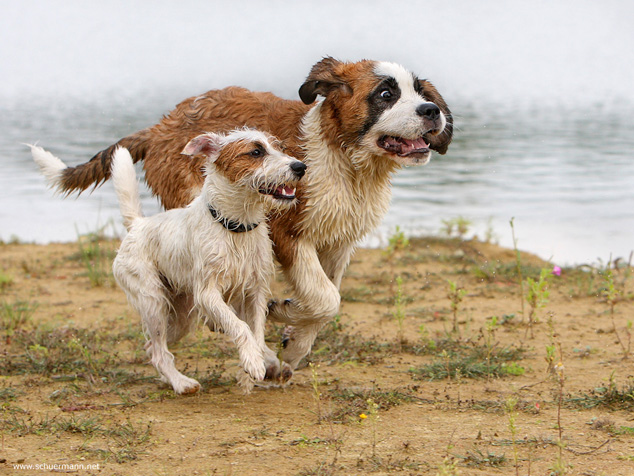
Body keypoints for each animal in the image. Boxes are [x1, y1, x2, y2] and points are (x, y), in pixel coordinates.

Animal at [108, 130, 306, 394]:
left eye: (280, 148)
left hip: (180, 317)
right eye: (256, 152)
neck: (236, 226)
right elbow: (239, 326)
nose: (300, 167)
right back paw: (182, 383)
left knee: (152, 347)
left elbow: (256, 331)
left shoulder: (255, 293)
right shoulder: (208, 293)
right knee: (159, 352)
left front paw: (258, 360)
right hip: (153, 302)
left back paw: (171, 379)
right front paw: (253, 361)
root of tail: (137, 225)